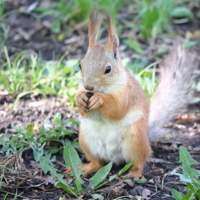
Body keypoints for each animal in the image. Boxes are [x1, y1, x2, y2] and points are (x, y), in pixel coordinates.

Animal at [65, 9, 197, 179]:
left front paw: (99, 100)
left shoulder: (126, 92)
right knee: (98, 163)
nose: (89, 86)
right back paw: (84, 168)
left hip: (135, 139)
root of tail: (113, 158)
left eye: (108, 69)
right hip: (85, 139)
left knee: (139, 160)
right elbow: (84, 109)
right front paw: (81, 99)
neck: (104, 89)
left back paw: (134, 173)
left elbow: (118, 109)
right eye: (80, 65)